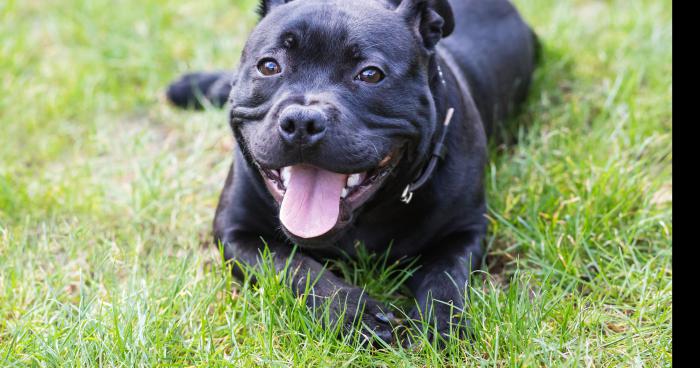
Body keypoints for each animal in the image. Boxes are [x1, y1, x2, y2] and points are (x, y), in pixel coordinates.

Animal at [167, 0, 540, 342]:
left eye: (370, 74)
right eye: (269, 66)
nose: (302, 121)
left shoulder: (465, 230)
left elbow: (445, 279)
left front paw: (440, 328)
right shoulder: (236, 231)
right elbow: (293, 266)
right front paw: (355, 314)